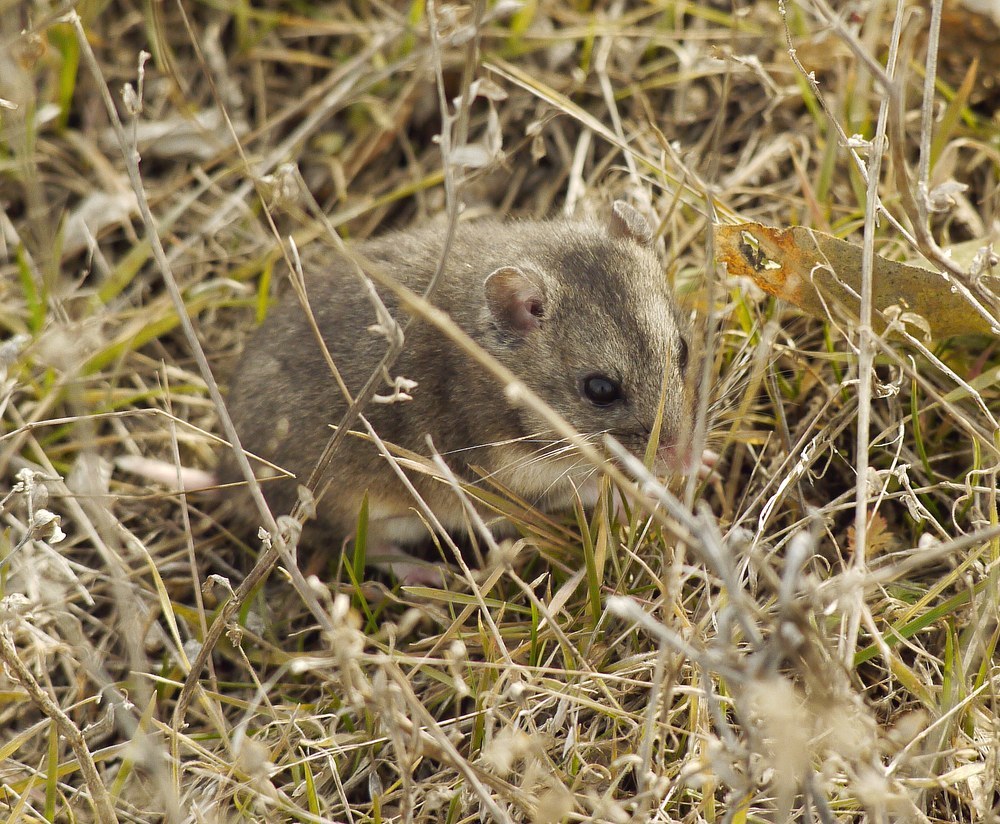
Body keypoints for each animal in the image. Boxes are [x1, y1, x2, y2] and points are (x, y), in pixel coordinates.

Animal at [220, 202, 695, 580]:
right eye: (599, 389)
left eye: (685, 349)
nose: (682, 461)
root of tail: (225, 479)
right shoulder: (510, 482)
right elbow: (587, 490)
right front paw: (641, 496)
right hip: (363, 506)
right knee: (364, 547)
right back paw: (434, 577)